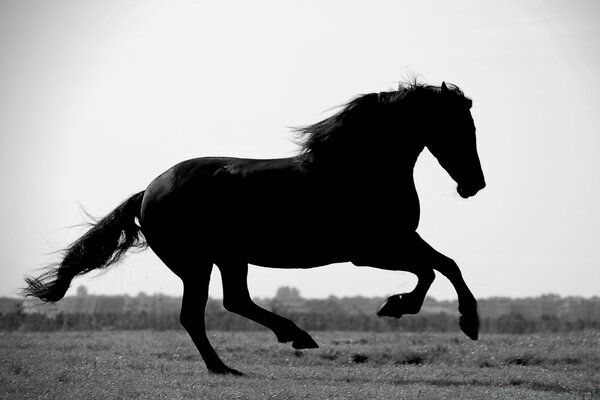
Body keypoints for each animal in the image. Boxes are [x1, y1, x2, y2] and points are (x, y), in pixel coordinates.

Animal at [24, 80, 488, 376]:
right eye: (458, 127)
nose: (475, 185)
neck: (358, 171)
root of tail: (146, 193)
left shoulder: (400, 240)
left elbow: (446, 265)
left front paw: (462, 320)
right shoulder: (372, 250)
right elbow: (433, 270)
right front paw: (408, 309)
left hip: (228, 259)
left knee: (234, 302)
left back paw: (288, 339)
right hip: (197, 263)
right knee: (197, 314)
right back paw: (231, 365)